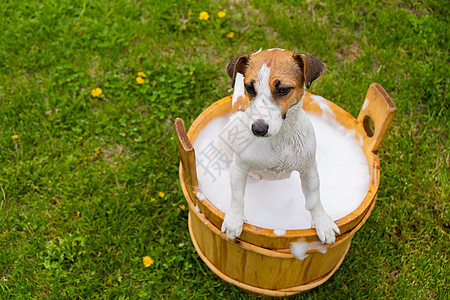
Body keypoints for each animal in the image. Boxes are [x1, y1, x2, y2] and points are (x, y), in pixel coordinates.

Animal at [220, 47, 340, 244]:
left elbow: (314, 199)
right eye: (249, 87)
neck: (279, 140)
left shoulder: (309, 169)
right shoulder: (239, 167)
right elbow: (237, 197)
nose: (258, 129)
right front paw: (234, 219)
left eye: (283, 89)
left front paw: (322, 222)